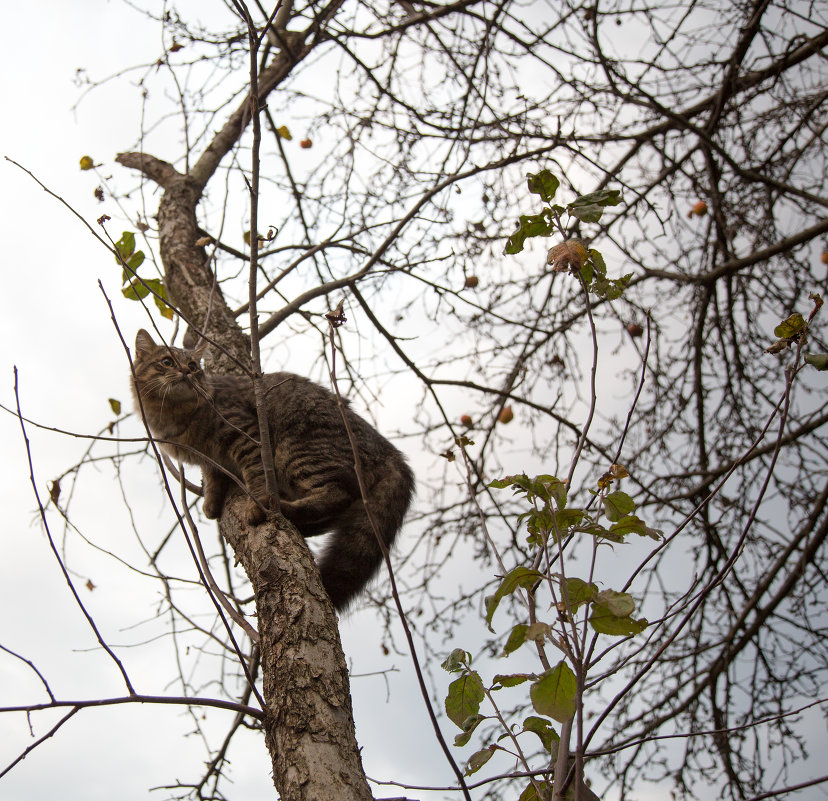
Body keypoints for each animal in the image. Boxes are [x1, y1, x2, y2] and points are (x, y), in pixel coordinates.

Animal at [131, 328, 412, 608]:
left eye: (192, 366)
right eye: (167, 362)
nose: (186, 372)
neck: (173, 416)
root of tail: (391, 451)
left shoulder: (246, 436)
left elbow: (256, 476)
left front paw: (255, 504)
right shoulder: (210, 459)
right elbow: (213, 478)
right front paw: (211, 502)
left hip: (298, 453)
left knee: (335, 496)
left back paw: (282, 509)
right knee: (337, 514)